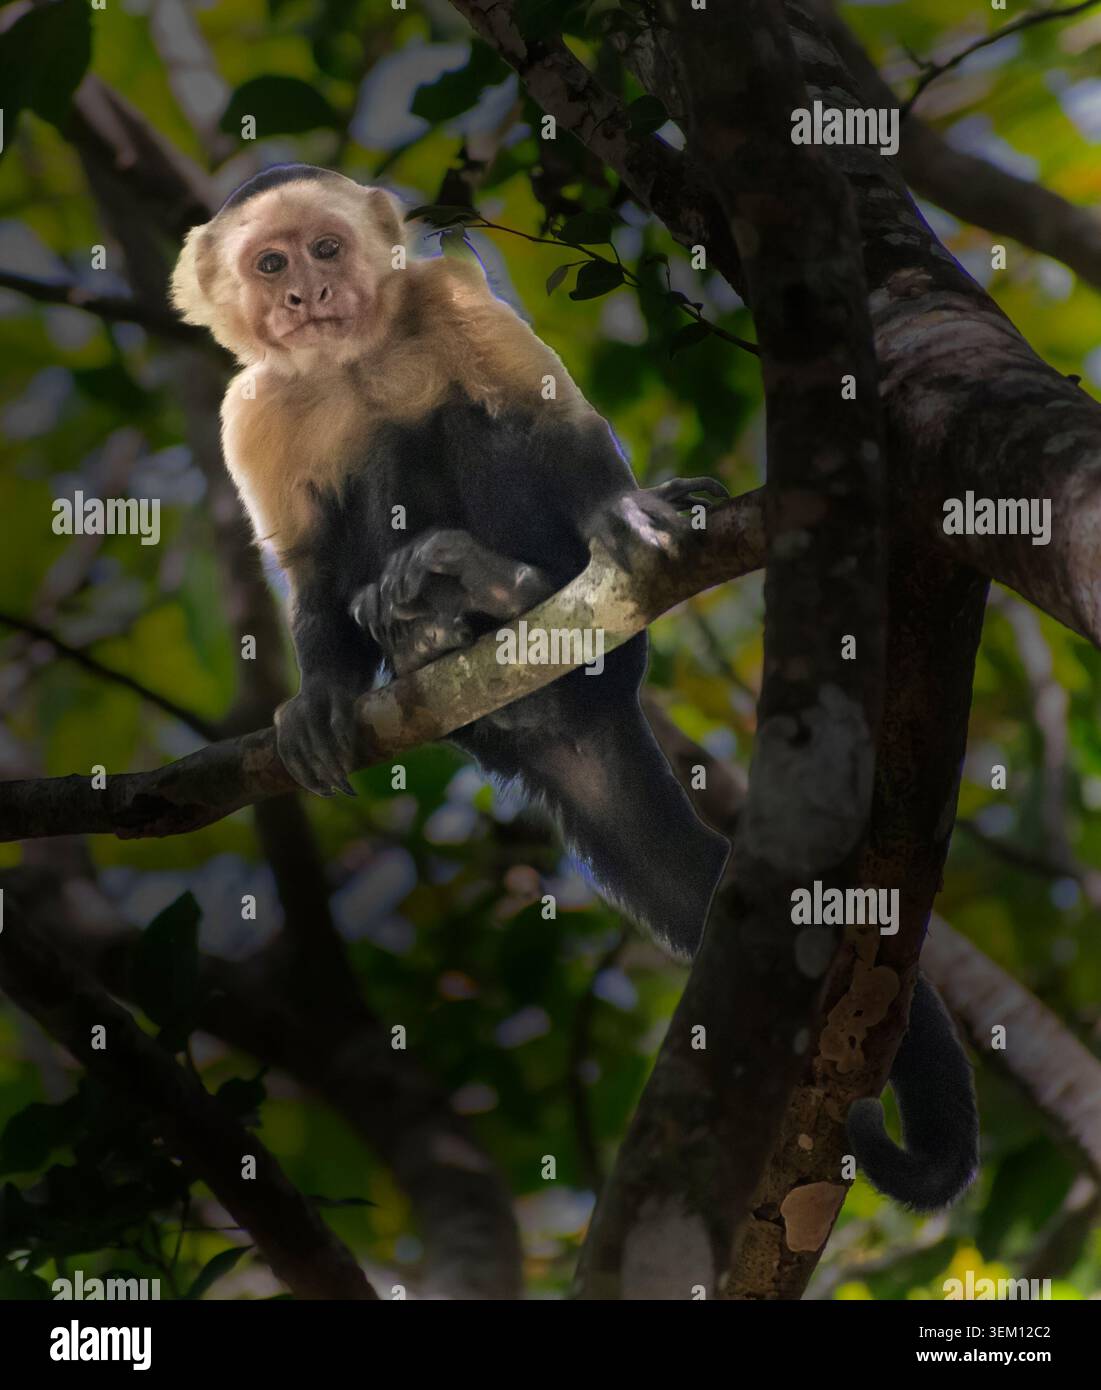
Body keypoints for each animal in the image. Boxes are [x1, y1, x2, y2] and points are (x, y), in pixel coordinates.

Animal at [171, 163, 977, 1211]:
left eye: (326, 247)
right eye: (271, 264)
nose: (308, 293)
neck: (350, 358)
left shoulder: (445, 294)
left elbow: (544, 419)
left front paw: (619, 511)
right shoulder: (252, 412)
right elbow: (309, 573)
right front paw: (318, 697)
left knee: (458, 424)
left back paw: (493, 589)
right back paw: (428, 635)